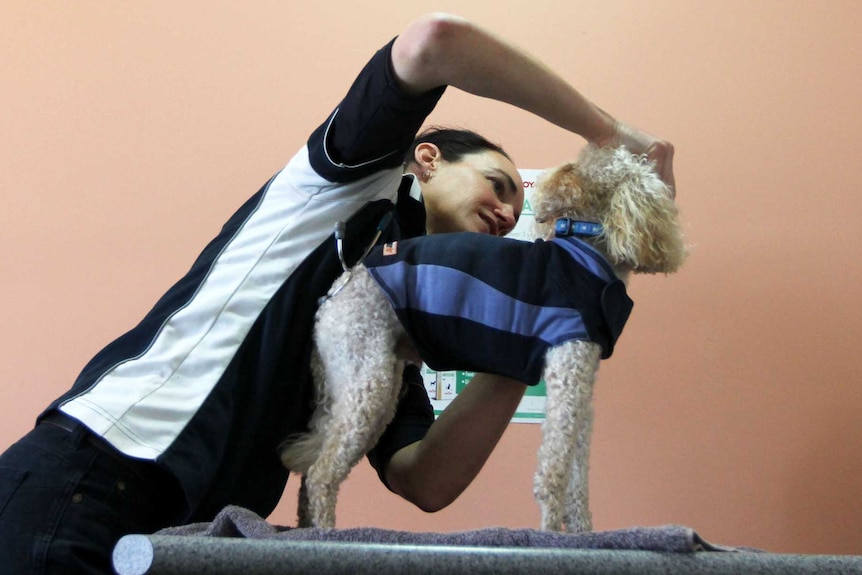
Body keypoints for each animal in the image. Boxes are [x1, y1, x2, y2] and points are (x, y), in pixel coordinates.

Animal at [282, 144, 688, 532]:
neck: (587, 250)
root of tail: (338, 287)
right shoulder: (567, 372)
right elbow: (553, 472)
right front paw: (550, 534)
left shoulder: (581, 390)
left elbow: (578, 478)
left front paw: (582, 533)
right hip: (366, 380)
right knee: (320, 474)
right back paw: (325, 531)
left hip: (363, 386)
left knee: (312, 472)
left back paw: (306, 526)